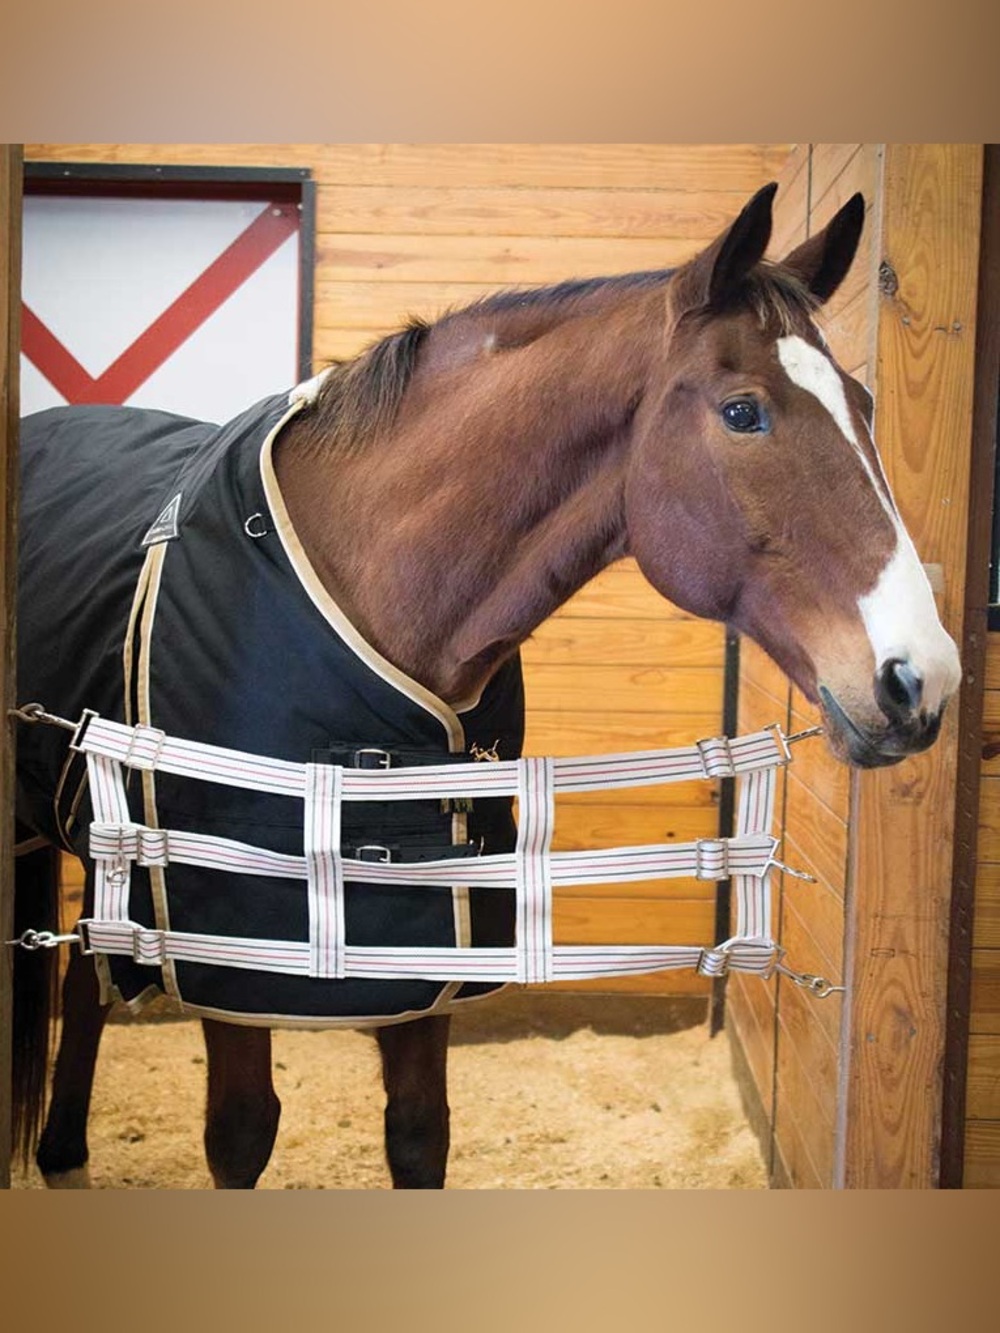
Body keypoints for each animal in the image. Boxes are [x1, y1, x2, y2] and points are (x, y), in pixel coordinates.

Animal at [11, 180, 961, 1189]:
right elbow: (241, 1131)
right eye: (744, 412)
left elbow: (420, 1132)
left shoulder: (430, 939)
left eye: (863, 402)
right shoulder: (228, 951)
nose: (921, 675)